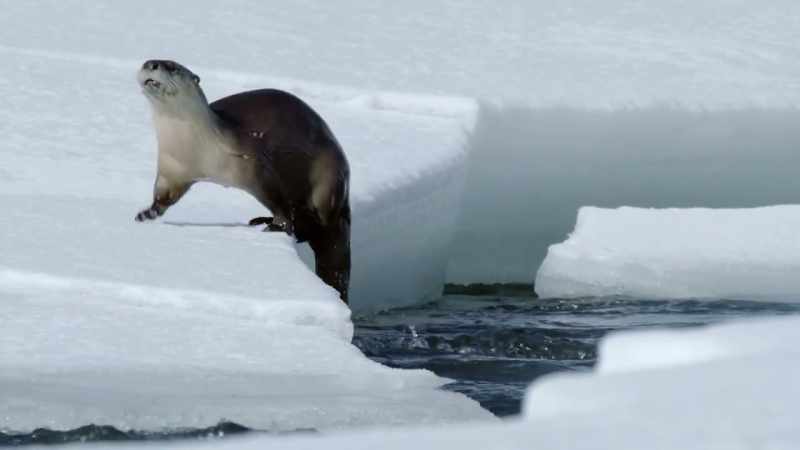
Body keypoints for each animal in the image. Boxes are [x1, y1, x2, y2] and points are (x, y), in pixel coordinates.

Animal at [135, 60, 351, 303]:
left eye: (171, 67)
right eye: (149, 62)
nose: (151, 64)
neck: (193, 147)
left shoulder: (253, 162)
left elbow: (277, 199)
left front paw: (279, 226)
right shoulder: (171, 170)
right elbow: (163, 196)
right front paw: (147, 213)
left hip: (328, 179)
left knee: (320, 222)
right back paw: (261, 219)